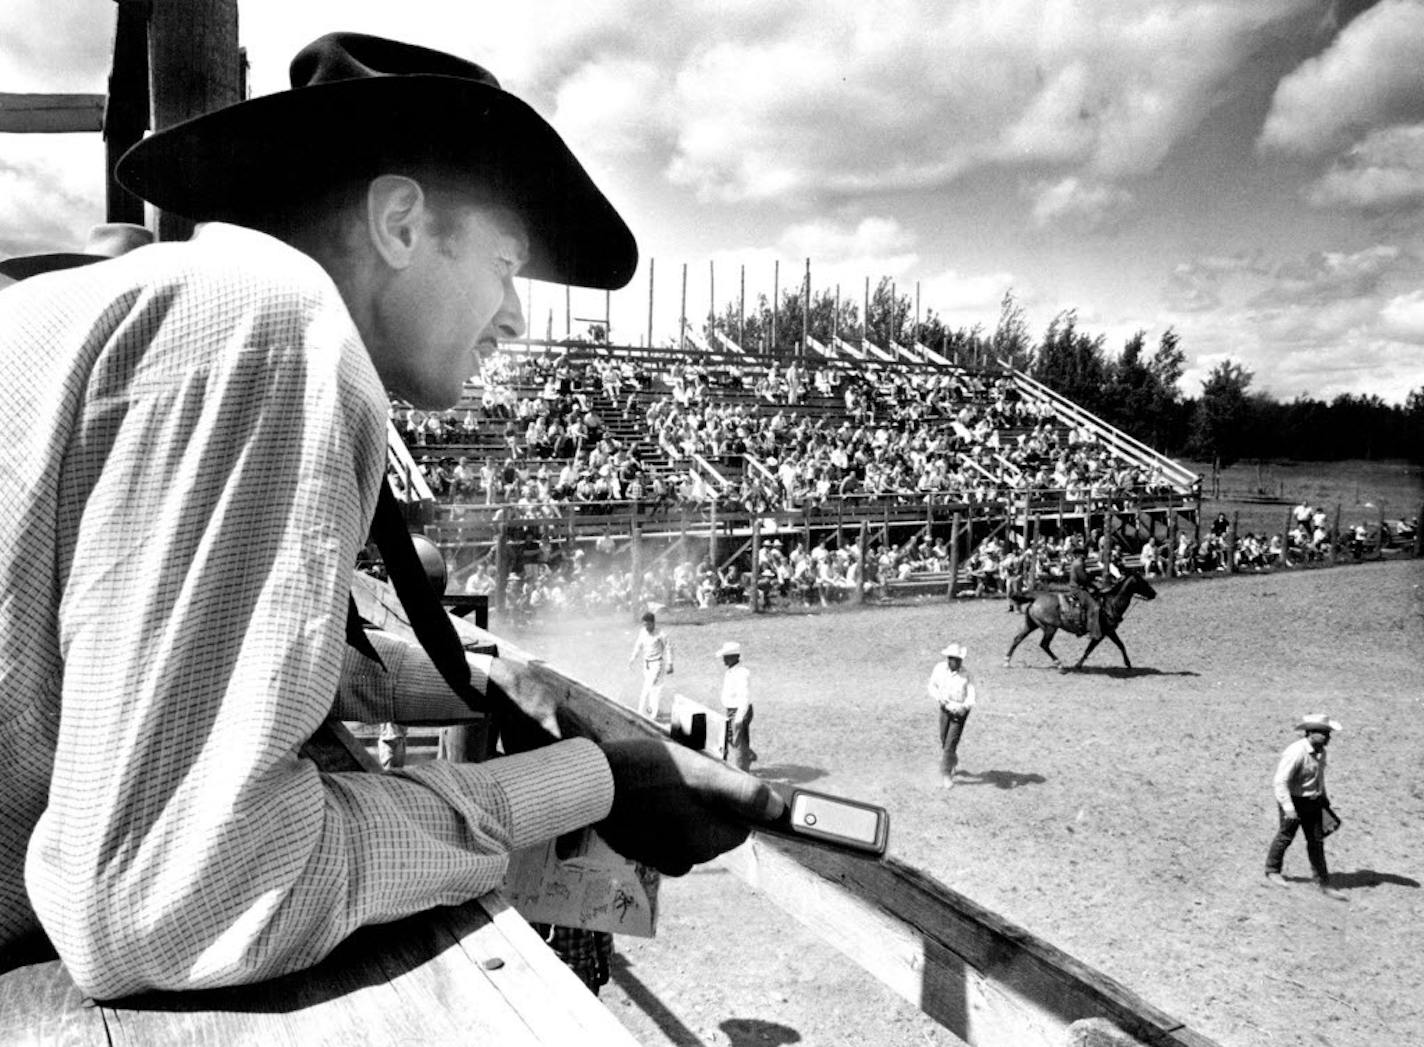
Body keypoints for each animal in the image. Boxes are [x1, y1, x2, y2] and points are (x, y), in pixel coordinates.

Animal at [1002, 572, 1156, 672]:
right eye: (1144, 582)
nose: (1154, 594)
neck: (1110, 603)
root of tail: (1036, 597)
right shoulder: (1104, 632)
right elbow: (1094, 648)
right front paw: (1128, 664)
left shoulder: (1109, 631)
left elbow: (1117, 645)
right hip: (1050, 628)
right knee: (1044, 644)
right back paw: (1060, 665)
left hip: (1031, 625)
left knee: (1017, 639)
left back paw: (1007, 662)